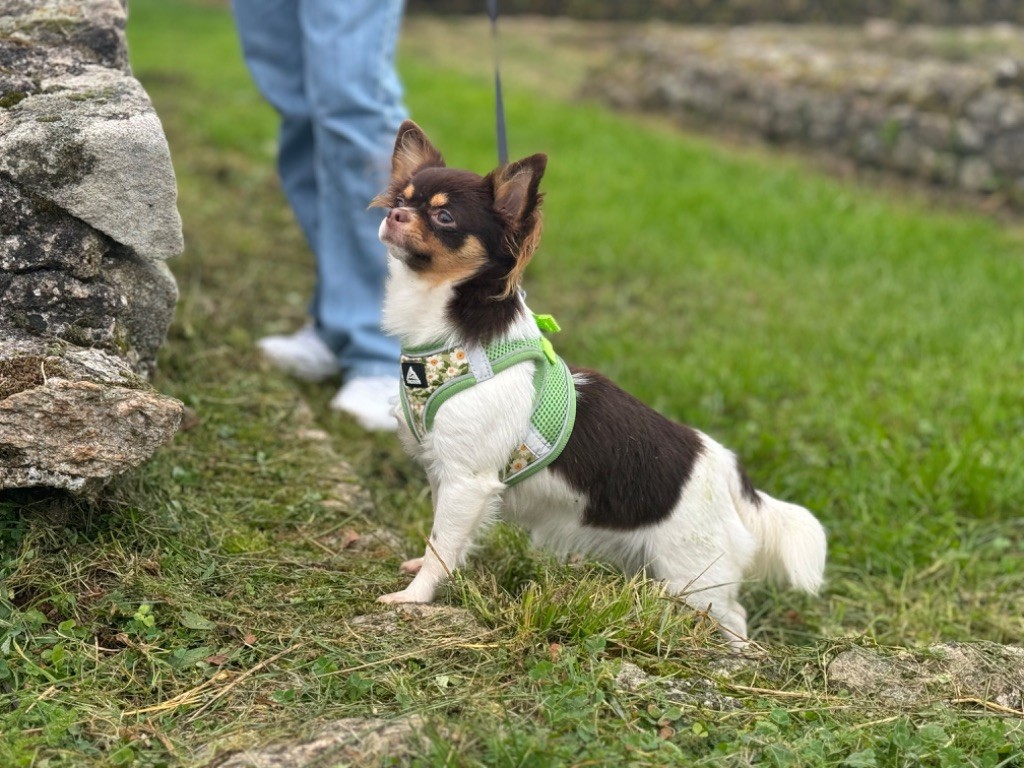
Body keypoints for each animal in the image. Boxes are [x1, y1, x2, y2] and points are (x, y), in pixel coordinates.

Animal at [368, 121, 823, 651]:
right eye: (401, 198)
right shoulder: (447, 474)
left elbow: (443, 543)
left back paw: (732, 656)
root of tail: (731, 471)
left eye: (443, 216)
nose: (395, 213)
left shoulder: (468, 480)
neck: (449, 338)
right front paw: (427, 570)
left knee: (735, 617)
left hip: (694, 577)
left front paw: (415, 597)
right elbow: (444, 538)